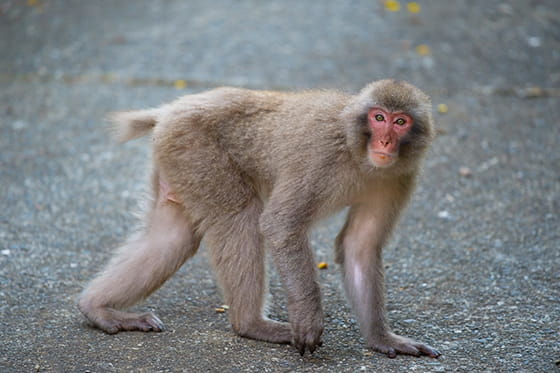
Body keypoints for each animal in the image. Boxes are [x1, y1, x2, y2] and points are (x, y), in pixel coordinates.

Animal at [75, 78, 442, 358]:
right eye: (379, 117)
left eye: (400, 122)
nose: (386, 141)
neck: (358, 154)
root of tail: (171, 108)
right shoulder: (322, 157)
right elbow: (280, 224)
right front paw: (309, 318)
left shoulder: (398, 179)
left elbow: (359, 246)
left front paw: (382, 339)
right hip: (197, 150)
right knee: (240, 217)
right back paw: (251, 325)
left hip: (178, 159)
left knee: (171, 238)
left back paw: (96, 307)